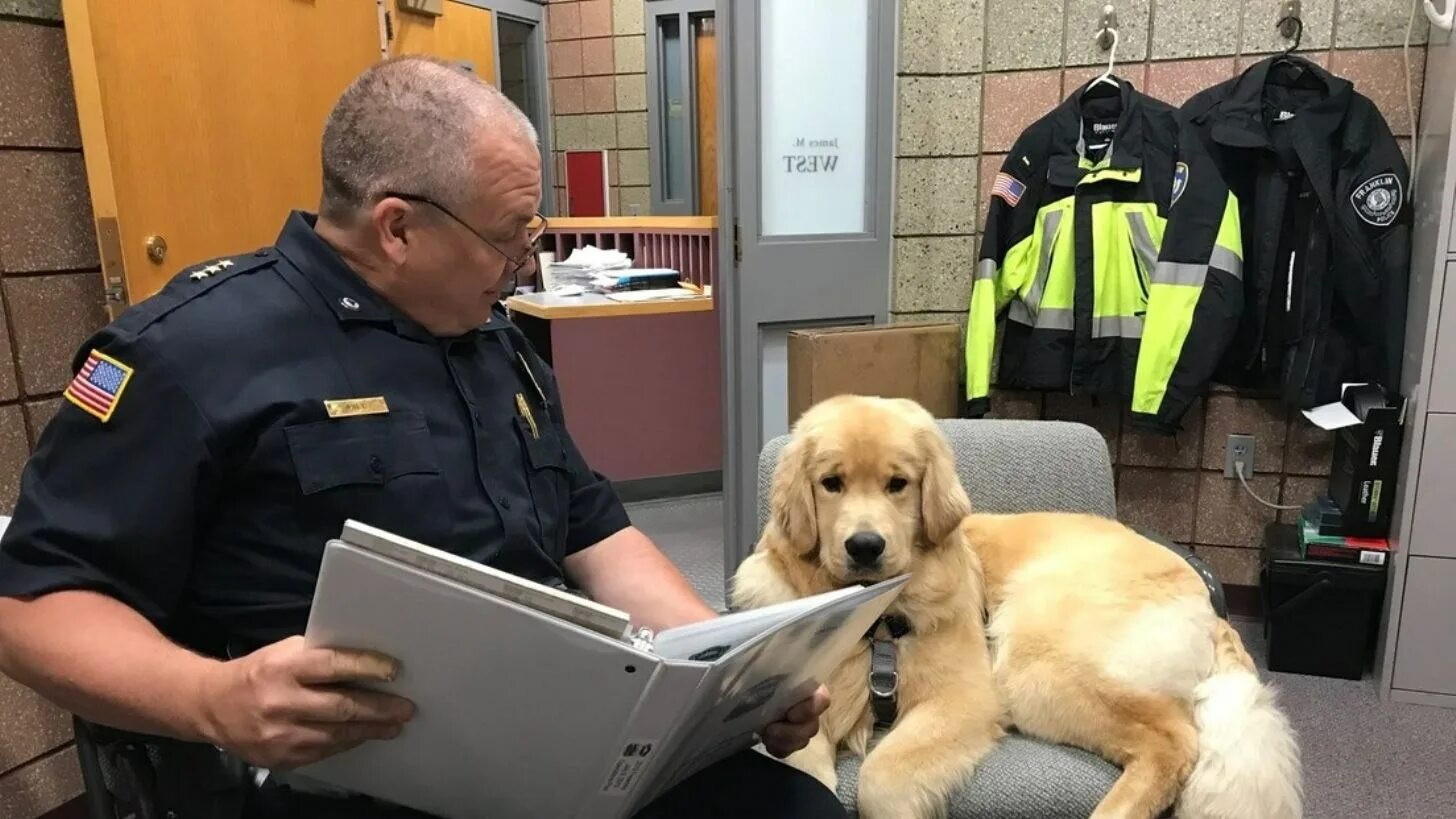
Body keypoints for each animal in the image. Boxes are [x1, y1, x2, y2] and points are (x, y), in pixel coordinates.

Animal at [728, 393, 1001, 810]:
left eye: (898, 483)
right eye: (831, 483)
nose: (865, 546)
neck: (876, 625)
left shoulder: (963, 696)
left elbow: (882, 774)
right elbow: (808, 770)